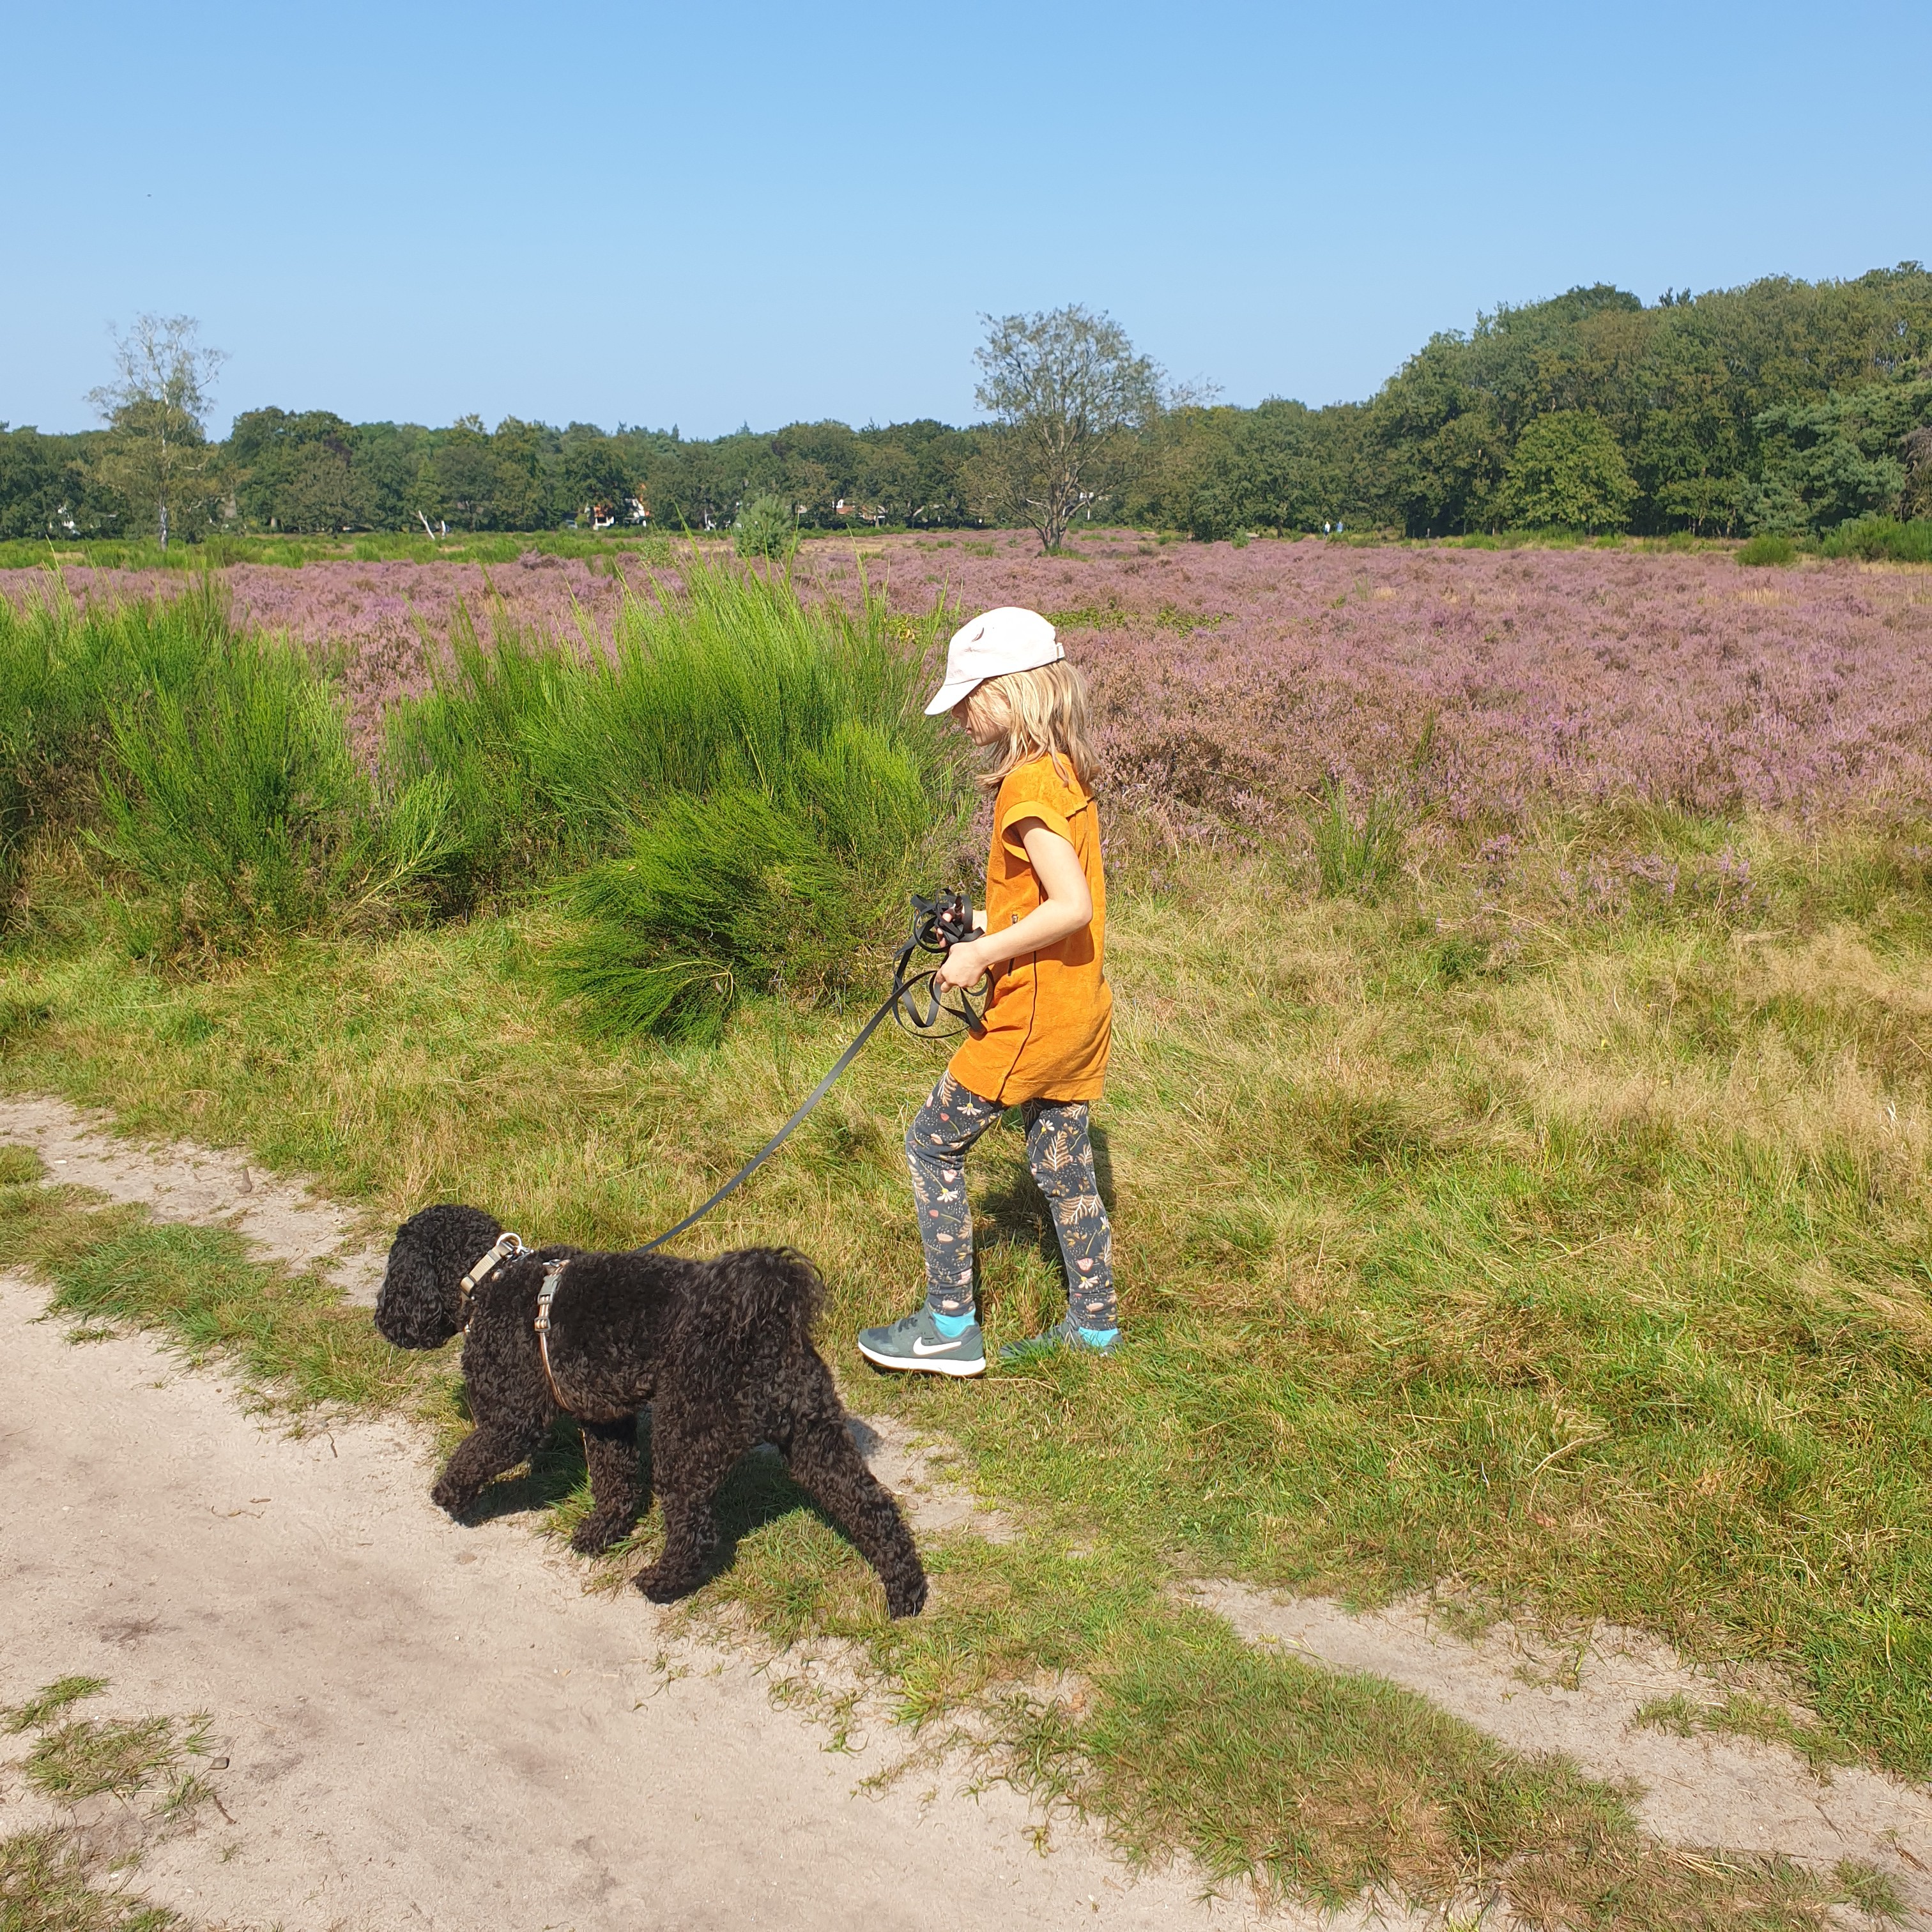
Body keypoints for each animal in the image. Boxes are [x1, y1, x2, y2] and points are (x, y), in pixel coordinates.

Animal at [374, 1205, 927, 1615]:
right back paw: (906, 1594)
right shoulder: (605, 1416)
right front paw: (603, 1531)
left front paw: (450, 1494)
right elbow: (614, 1480)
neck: (495, 1275)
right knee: (874, 1509)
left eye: (395, 1270)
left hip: (684, 1439)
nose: (382, 1319)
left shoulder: (515, 1418)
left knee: (697, 1532)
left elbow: (474, 1452)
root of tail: (762, 1322)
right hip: (816, 1439)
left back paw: (661, 1583)